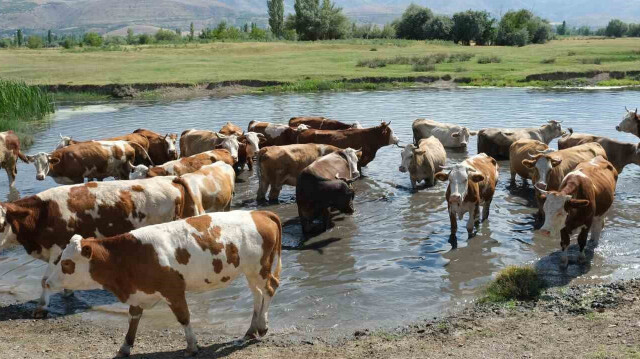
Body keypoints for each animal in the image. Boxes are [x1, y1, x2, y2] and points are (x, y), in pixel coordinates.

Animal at [0, 177, 202, 318]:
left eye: (2, 223)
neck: (43, 213)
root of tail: (170, 179)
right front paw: (66, 294)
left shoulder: (57, 250)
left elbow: (44, 280)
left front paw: (41, 308)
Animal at [45, 210, 280, 358]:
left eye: (66, 263)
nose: (46, 282)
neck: (128, 257)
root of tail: (259, 213)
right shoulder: (138, 292)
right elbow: (133, 320)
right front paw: (125, 347)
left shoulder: (173, 290)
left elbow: (184, 318)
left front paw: (191, 346)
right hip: (250, 271)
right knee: (258, 294)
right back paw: (252, 329)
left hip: (259, 267)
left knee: (269, 289)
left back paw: (262, 326)